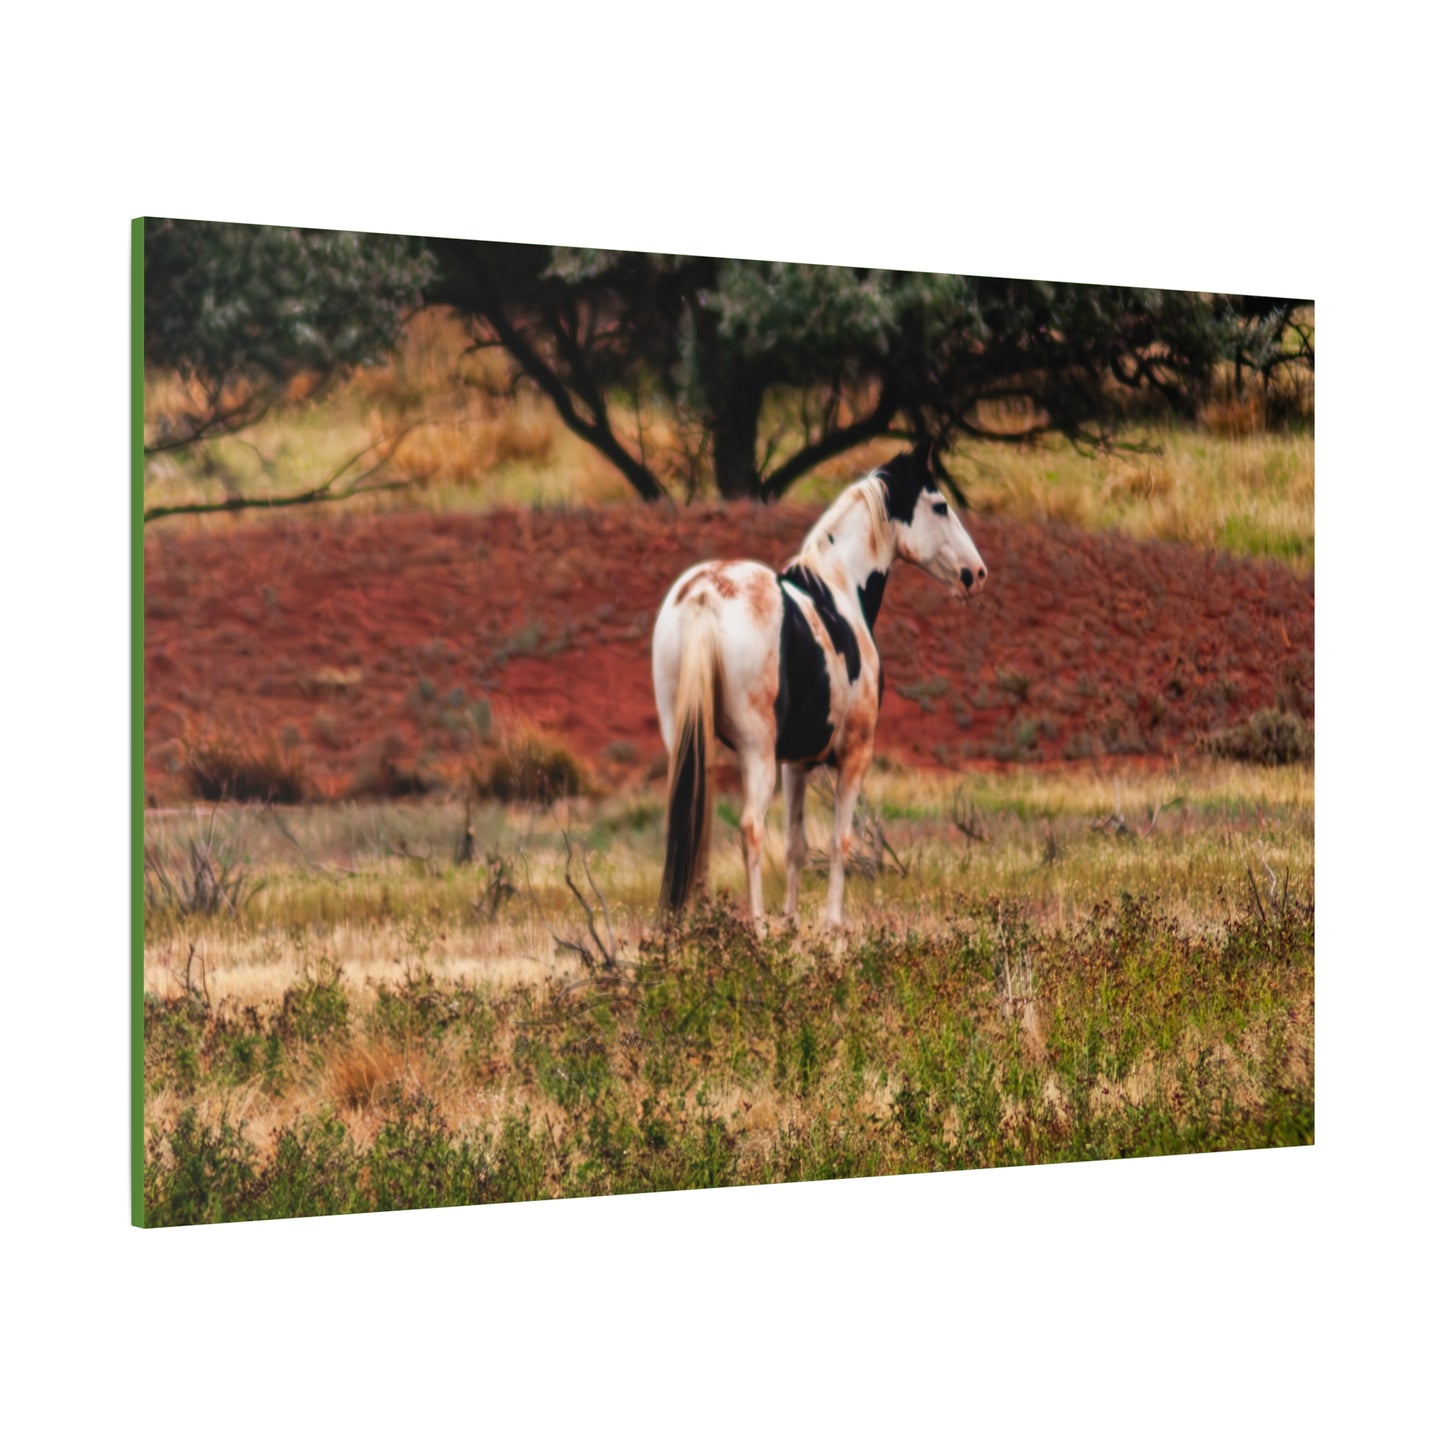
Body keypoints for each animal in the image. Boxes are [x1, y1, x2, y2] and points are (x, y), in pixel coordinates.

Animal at [651, 441, 988, 928]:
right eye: (940, 506)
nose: (976, 574)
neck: (838, 589)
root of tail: (704, 595)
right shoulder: (853, 756)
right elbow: (838, 842)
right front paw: (832, 926)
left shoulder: (795, 763)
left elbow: (796, 846)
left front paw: (792, 924)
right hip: (755, 750)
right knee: (751, 828)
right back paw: (757, 928)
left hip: (688, 739)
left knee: (697, 822)